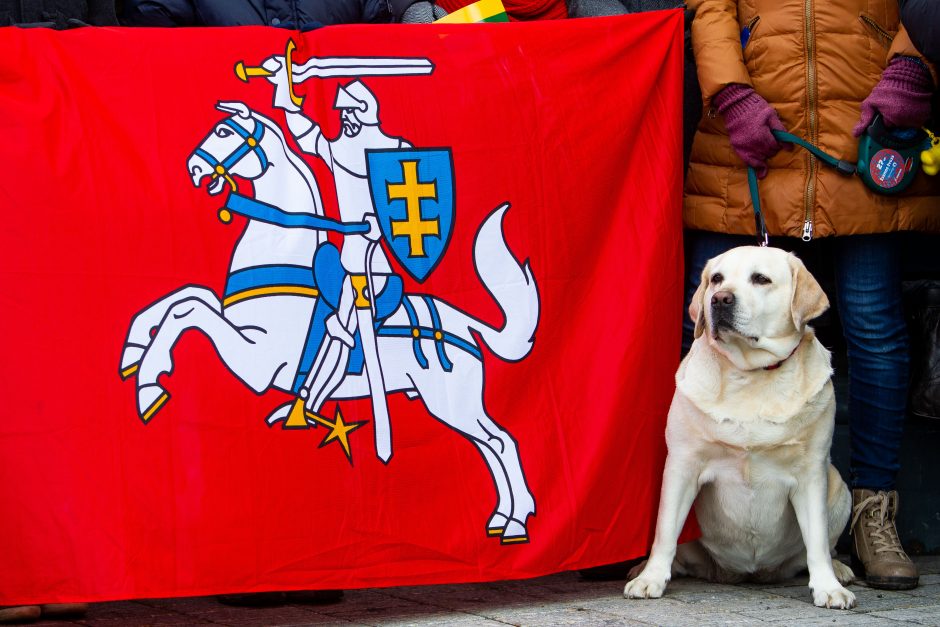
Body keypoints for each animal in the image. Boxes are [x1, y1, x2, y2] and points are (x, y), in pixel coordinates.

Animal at [121, 103, 540, 544]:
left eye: (223, 131)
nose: (194, 168)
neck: (280, 255)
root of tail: (464, 324)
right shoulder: (234, 323)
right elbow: (182, 297)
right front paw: (133, 351)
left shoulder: (256, 360)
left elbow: (187, 312)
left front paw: (149, 386)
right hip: (453, 403)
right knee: (489, 446)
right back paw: (501, 518)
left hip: (451, 400)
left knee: (501, 442)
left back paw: (515, 522)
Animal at [628, 245, 856, 608]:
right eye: (717, 278)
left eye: (760, 279)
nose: (720, 299)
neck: (751, 373)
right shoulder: (682, 464)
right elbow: (665, 532)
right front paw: (651, 579)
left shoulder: (811, 472)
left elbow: (818, 542)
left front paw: (828, 587)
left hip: (839, 488)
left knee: (825, 544)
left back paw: (840, 568)